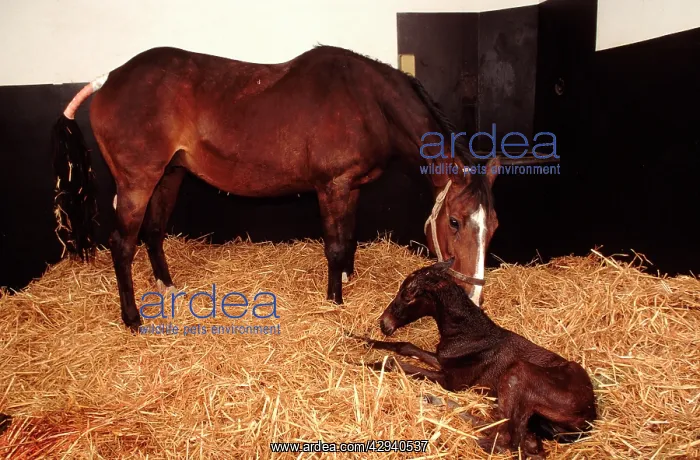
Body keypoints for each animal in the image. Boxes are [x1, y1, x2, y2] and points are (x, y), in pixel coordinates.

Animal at [51, 45, 500, 331]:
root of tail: (108, 80)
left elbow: (349, 237)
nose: (474, 299)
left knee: (154, 232)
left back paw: (167, 286)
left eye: (493, 225)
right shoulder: (332, 187)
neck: (367, 102)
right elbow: (335, 244)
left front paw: (347, 279)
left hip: (168, 176)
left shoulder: (350, 189)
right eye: (455, 222)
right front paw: (334, 300)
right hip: (137, 183)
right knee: (122, 244)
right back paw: (132, 318)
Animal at [351, 261, 597, 458]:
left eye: (408, 295)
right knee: (520, 438)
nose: (384, 324)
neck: (469, 334)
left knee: (509, 441)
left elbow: (395, 363)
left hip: (518, 373)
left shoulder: (452, 381)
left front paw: (360, 363)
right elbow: (405, 346)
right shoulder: (443, 362)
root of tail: (589, 417)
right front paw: (355, 337)